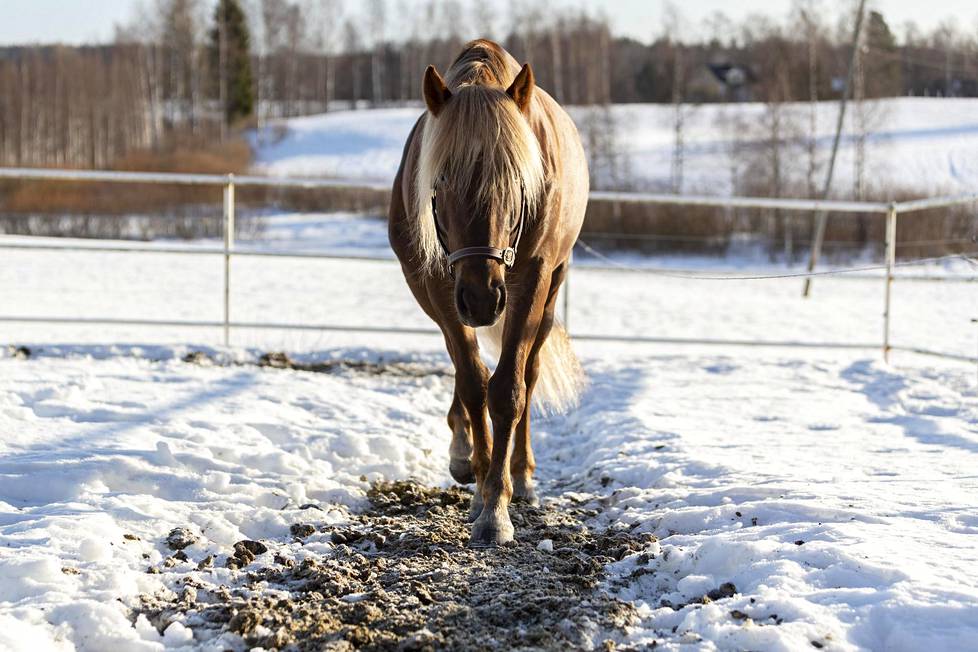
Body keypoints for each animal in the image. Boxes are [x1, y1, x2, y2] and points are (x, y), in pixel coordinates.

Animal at [388, 38, 588, 544]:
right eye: (439, 181)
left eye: (517, 181)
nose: (481, 298)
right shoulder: (437, 285)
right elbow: (473, 381)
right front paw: (480, 486)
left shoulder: (530, 280)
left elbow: (508, 391)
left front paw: (497, 506)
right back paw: (463, 451)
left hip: (546, 293)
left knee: (530, 374)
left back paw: (522, 475)